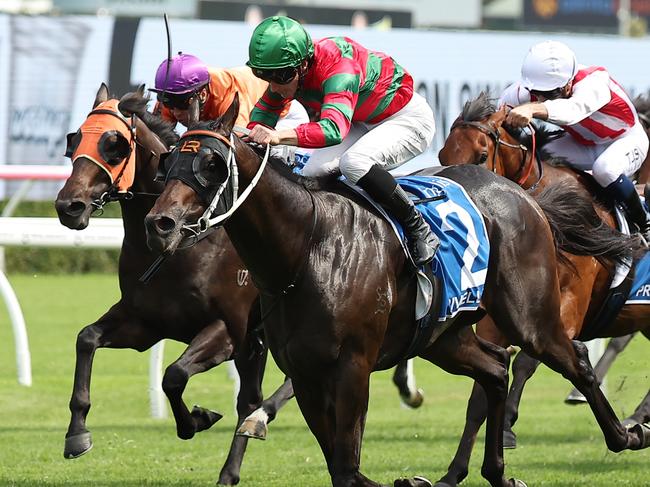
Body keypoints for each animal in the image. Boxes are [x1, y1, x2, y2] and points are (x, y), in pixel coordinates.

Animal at [54, 83, 292, 484]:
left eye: (114, 144)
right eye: (74, 141)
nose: (69, 206)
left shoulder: (230, 330)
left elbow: (174, 374)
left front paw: (196, 419)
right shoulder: (145, 322)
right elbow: (86, 338)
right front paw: (77, 434)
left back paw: (254, 428)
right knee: (253, 396)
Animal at [143, 94, 648, 487]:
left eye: (212, 163)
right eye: (170, 159)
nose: (160, 224)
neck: (306, 247)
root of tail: (527, 197)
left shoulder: (352, 368)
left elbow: (347, 467)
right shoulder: (306, 373)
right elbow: (341, 467)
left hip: (532, 317)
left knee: (570, 361)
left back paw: (628, 433)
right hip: (444, 336)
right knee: (493, 370)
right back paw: (496, 471)